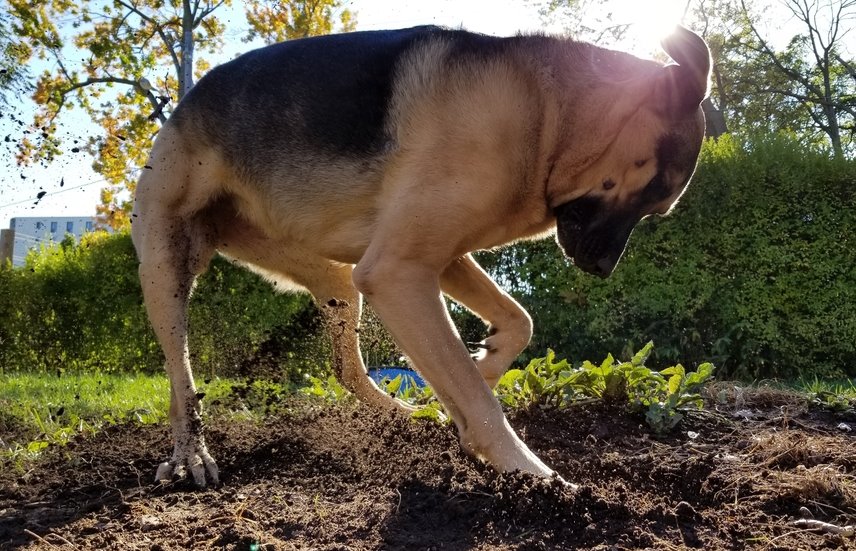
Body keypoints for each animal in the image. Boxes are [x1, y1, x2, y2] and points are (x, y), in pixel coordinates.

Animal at [132, 24, 708, 488]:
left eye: (658, 205)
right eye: (654, 189)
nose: (602, 269)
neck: (549, 117)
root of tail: (184, 102)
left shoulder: (440, 259)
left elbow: (516, 323)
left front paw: (486, 364)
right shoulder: (399, 272)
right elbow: (480, 399)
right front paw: (532, 475)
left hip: (337, 283)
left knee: (344, 373)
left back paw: (408, 415)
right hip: (166, 268)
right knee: (182, 378)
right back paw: (190, 455)